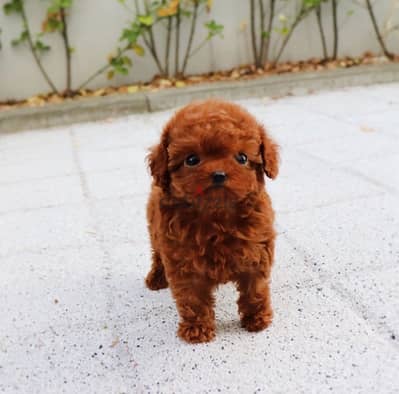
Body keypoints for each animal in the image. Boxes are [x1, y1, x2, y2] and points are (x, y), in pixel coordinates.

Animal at [145, 100, 280, 344]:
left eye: (242, 158)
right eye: (191, 160)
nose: (218, 174)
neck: (217, 216)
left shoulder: (257, 254)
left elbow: (255, 290)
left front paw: (257, 319)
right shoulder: (183, 263)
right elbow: (193, 300)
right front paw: (197, 329)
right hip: (154, 233)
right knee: (157, 254)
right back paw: (157, 277)